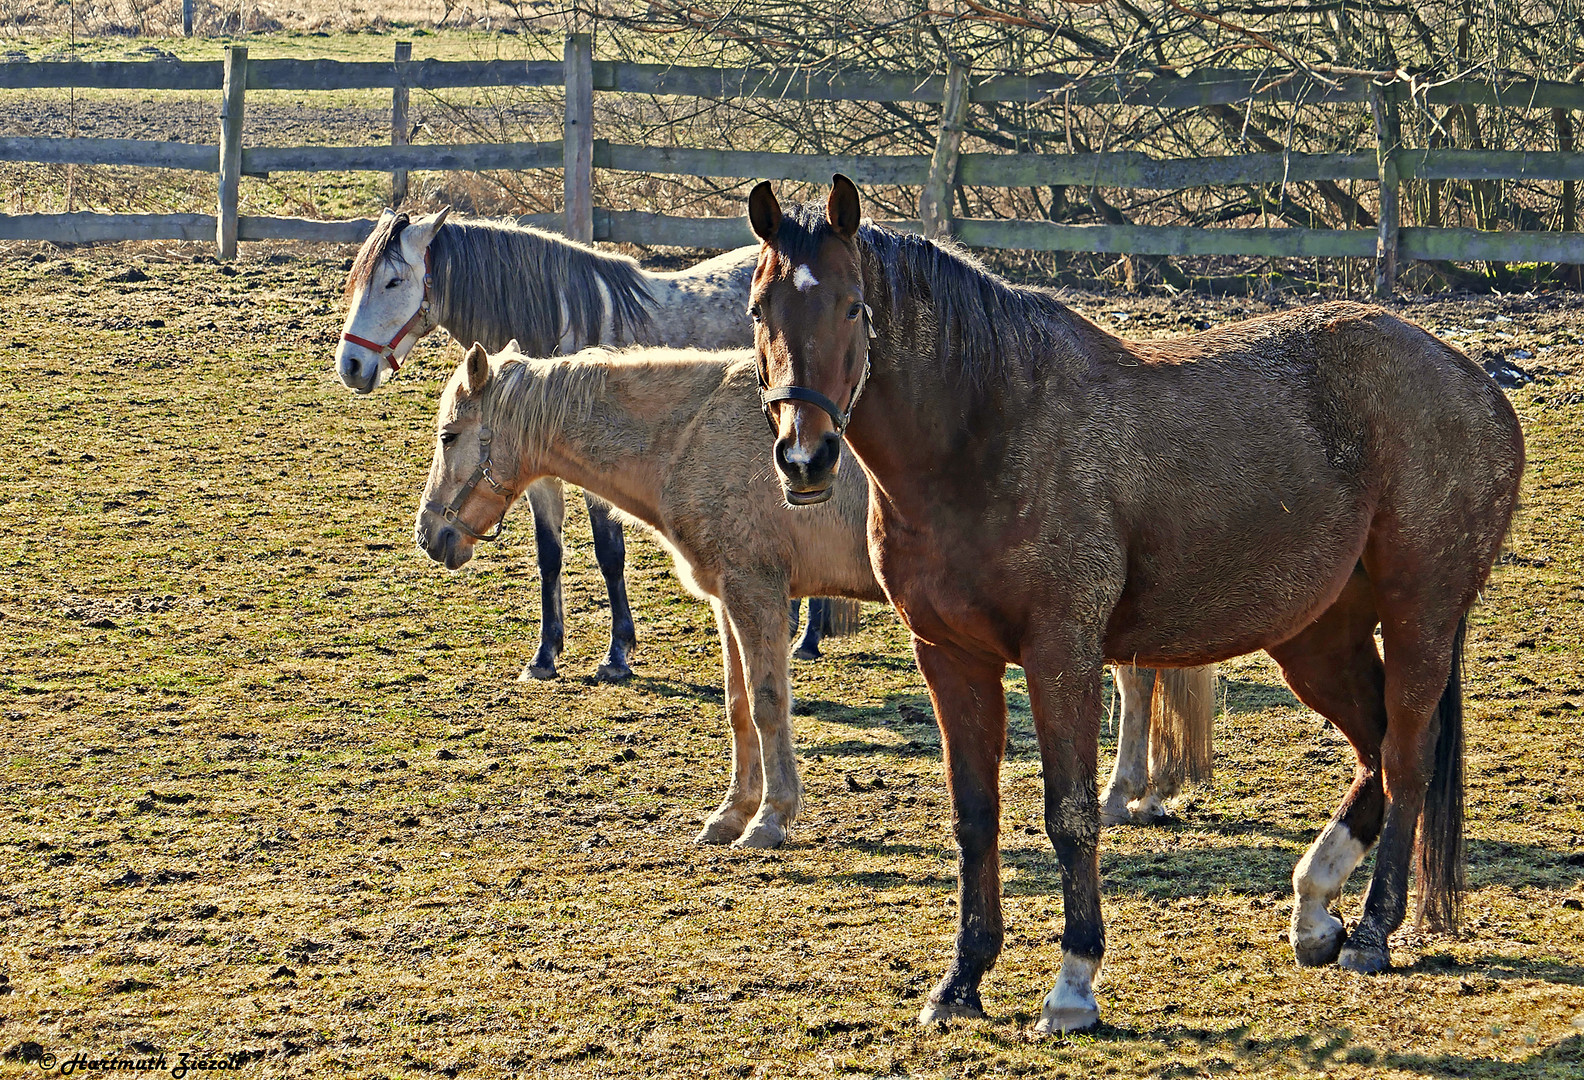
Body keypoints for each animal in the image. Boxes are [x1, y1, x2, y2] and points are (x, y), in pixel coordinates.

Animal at [747, 180, 1526, 1032]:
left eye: (854, 306)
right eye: (758, 309)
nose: (804, 457)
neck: (987, 433)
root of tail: (1473, 379)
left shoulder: (1062, 655)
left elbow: (1070, 812)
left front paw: (1073, 983)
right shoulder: (951, 657)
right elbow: (974, 817)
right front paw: (961, 981)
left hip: (1422, 616)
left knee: (1408, 754)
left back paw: (1374, 930)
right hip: (1318, 638)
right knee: (1374, 748)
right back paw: (1316, 909)